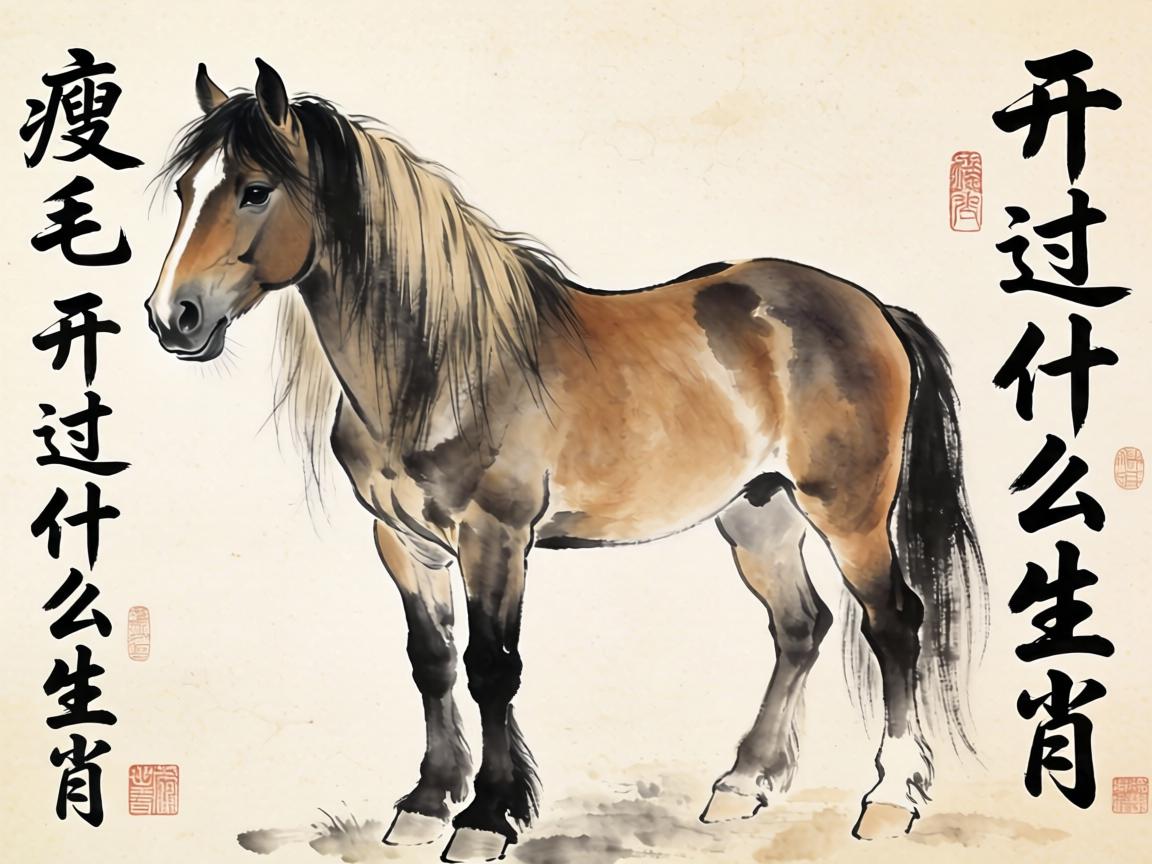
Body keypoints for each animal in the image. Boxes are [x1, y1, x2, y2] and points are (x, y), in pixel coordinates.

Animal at [145, 59, 987, 863]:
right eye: (186, 189)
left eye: (255, 190)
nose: (171, 317)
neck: (441, 364)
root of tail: (872, 308)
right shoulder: (405, 542)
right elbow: (433, 661)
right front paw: (427, 804)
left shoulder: (496, 538)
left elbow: (492, 668)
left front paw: (486, 819)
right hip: (761, 514)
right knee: (799, 625)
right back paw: (741, 783)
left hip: (848, 513)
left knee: (893, 622)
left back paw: (890, 799)